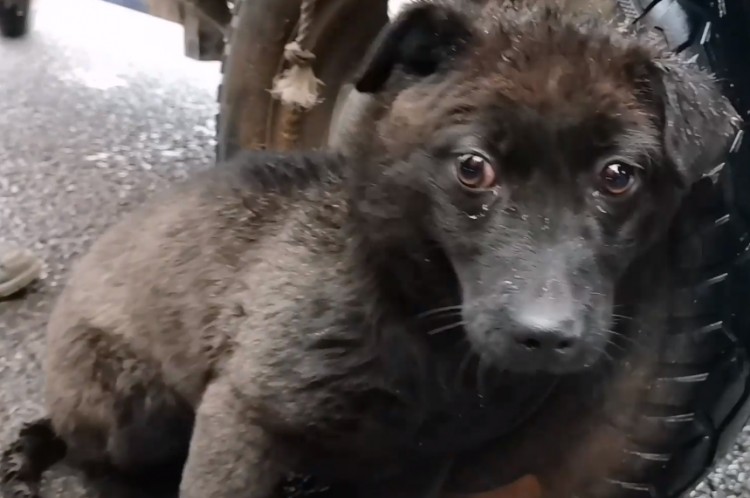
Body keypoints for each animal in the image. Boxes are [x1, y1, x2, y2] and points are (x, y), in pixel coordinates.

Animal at [0, 0, 740, 498]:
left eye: (618, 176)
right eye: (473, 167)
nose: (546, 336)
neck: (417, 324)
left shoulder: (419, 463)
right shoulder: (242, 415)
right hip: (134, 407)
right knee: (100, 464)